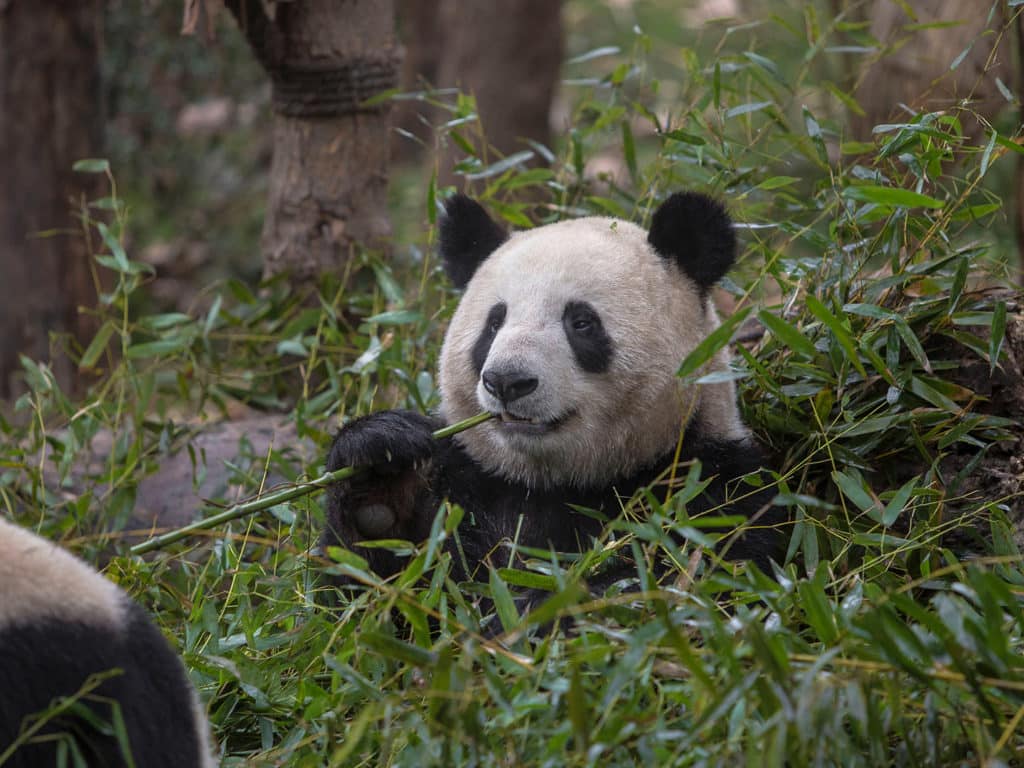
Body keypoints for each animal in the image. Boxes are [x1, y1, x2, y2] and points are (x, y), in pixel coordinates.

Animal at [323, 191, 781, 592]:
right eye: (494, 322)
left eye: (581, 322)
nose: (507, 381)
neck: (557, 482)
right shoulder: (469, 487)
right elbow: (372, 596)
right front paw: (381, 475)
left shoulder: (710, 491)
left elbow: (691, 577)